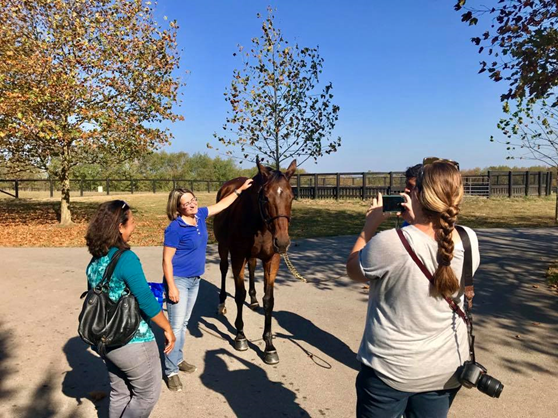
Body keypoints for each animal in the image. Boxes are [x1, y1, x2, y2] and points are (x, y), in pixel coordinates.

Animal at [215, 158, 300, 364]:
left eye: (292, 197)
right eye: (265, 198)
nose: (283, 242)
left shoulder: (272, 260)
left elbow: (269, 300)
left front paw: (269, 346)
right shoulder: (237, 256)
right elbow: (239, 294)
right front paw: (240, 336)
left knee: (252, 267)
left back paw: (253, 300)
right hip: (223, 247)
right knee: (223, 269)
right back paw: (222, 303)